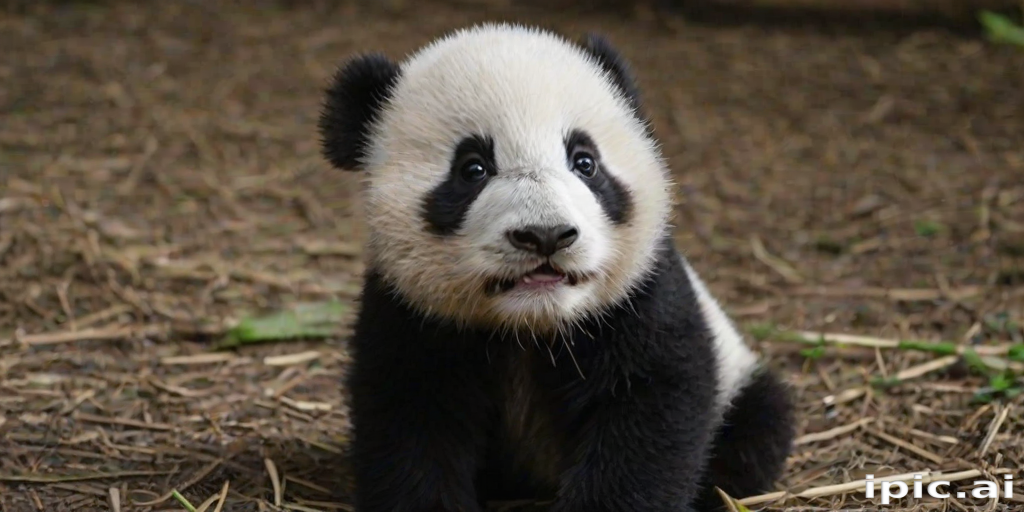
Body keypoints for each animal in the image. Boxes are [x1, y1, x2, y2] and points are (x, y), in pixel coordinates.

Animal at [318, 23, 796, 512]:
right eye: (472, 168)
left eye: (584, 162)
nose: (545, 235)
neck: (533, 324)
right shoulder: (411, 312)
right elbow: (410, 420)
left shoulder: (640, 296)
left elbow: (652, 408)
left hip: (739, 385)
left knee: (760, 425)